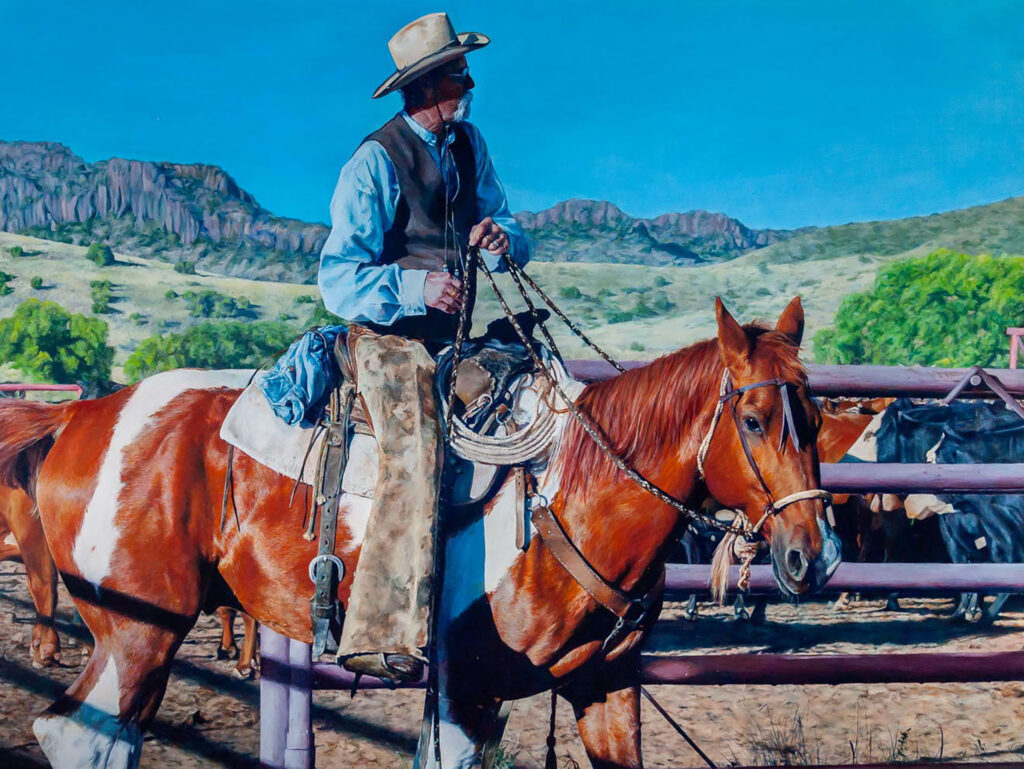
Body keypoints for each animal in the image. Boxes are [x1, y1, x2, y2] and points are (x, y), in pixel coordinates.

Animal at [0, 298, 839, 769]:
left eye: (817, 415)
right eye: (753, 418)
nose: (816, 553)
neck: (570, 494)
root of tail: (81, 414)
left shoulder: (604, 683)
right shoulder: (467, 687)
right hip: (140, 626)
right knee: (83, 736)